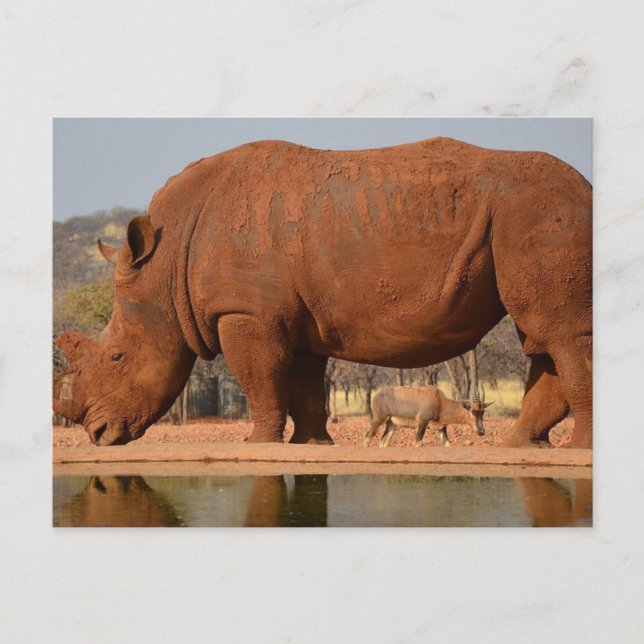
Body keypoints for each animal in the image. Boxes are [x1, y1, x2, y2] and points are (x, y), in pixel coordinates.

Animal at [53, 137, 592, 448]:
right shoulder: (292, 317)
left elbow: (260, 378)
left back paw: (574, 451)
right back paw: (521, 447)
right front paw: (312, 447)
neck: (165, 266)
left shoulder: (245, 312)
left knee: (560, 335)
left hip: (541, 214)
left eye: (117, 357)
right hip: (524, 218)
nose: (97, 435)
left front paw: (258, 445)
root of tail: (585, 188)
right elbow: (305, 383)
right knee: (541, 337)